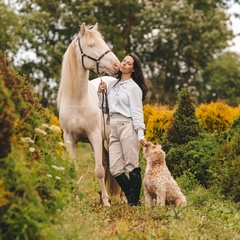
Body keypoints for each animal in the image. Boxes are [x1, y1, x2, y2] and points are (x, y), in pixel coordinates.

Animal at [57, 23, 121, 206]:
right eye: (92, 45)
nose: (117, 65)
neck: (77, 102)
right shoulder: (70, 140)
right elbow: (75, 169)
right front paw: (76, 198)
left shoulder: (94, 135)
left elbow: (99, 170)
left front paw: (106, 202)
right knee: (106, 161)